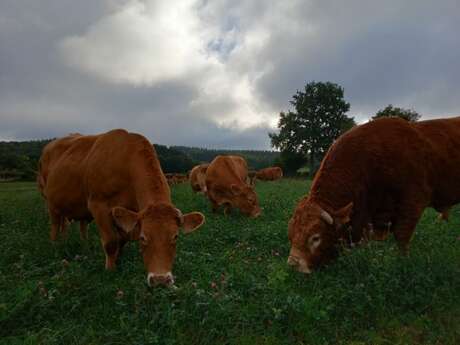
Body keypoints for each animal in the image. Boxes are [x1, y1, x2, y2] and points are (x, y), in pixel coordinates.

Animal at [36, 129, 206, 284]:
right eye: (143, 237)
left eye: (175, 236)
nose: (161, 280)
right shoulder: (98, 206)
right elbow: (111, 242)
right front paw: (110, 270)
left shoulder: (127, 213)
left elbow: (122, 239)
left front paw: (119, 259)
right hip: (50, 202)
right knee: (54, 226)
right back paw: (55, 247)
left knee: (75, 226)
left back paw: (82, 245)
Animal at [288, 117, 460, 272]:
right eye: (290, 234)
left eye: (316, 237)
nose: (293, 264)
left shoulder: (413, 201)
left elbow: (402, 237)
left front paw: (402, 263)